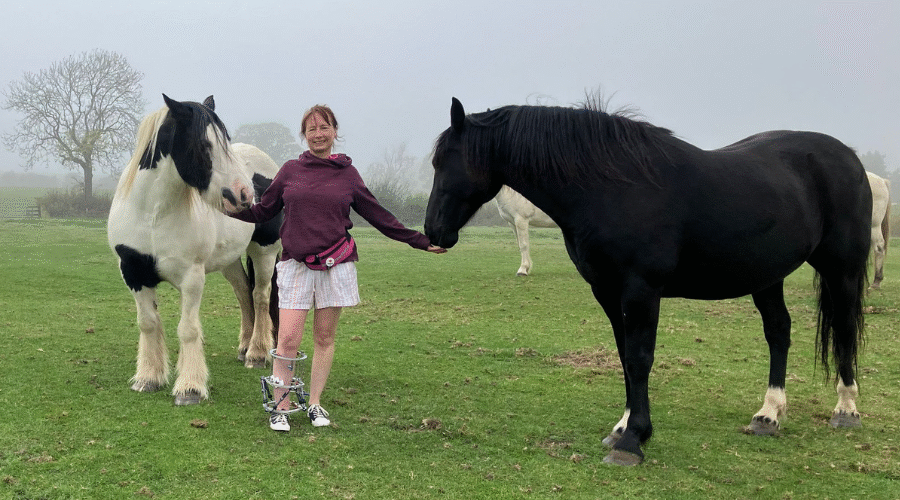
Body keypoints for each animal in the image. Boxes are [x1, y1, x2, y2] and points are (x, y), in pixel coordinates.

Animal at [108, 95, 283, 405]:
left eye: (225, 140)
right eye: (203, 145)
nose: (243, 194)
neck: (152, 214)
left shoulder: (191, 277)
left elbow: (188, 330)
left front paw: (189, 388)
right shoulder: (134, 273)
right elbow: (148, 323)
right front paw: (148, 378)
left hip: (264, 252)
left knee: (260, 296)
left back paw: (257, 353)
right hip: (229, 260)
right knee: (243, 293)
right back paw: (243, 348)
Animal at [425, 97, 871, 465]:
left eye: (444, 161)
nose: (433, 231)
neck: (610, 186)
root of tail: (848, 157)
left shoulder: (641, 290)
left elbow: (640, 358)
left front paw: (631, 443)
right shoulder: (608, 292)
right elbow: (625, 357)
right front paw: (624, 428)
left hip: (842, 270)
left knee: (845, 328)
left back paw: (846, 409)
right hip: (767, 276)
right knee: (779, 331)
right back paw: (769, 413)